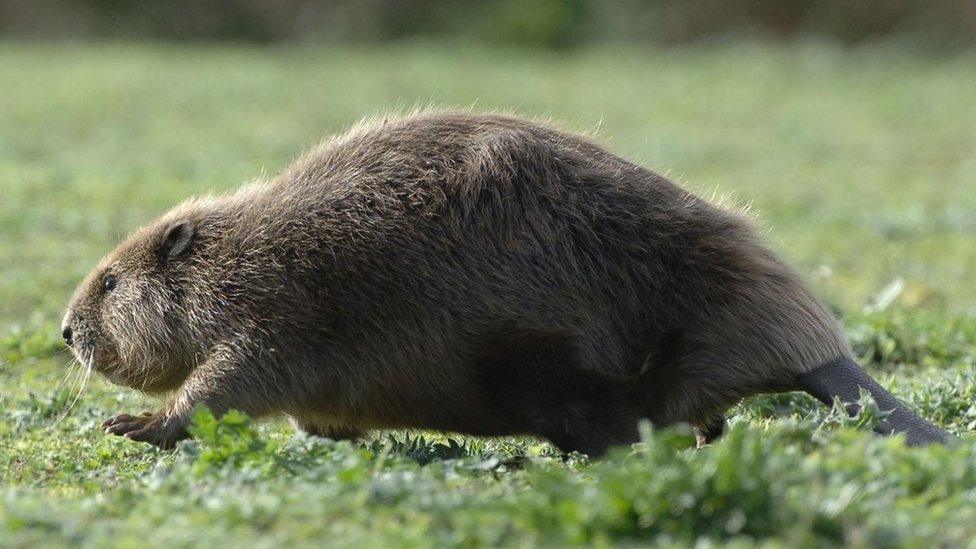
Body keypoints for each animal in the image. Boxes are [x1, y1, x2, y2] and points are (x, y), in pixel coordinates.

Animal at [61, 109, 944, 452]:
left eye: (108, 283)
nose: (65, 331)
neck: (248, 249)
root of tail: (819, 352)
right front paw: (335, 431)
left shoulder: (278, 309)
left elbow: (227, 381)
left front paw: (132, 424)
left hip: (555, 360)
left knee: (630, 417)